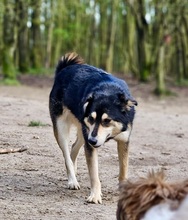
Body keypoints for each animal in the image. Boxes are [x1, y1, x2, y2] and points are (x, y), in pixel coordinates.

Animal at [48, 52, 137, 204]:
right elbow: (94, 174)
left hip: (83, 132)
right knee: (66, 155)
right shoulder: (90, 142)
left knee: (73, 148)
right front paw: (95, 196)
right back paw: (72, 180)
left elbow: (123, 170)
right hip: (63, 130)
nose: (93, 141)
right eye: (91, 118)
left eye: (107, 121)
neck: (108, 89)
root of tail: (65, 68)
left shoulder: (123, 141)